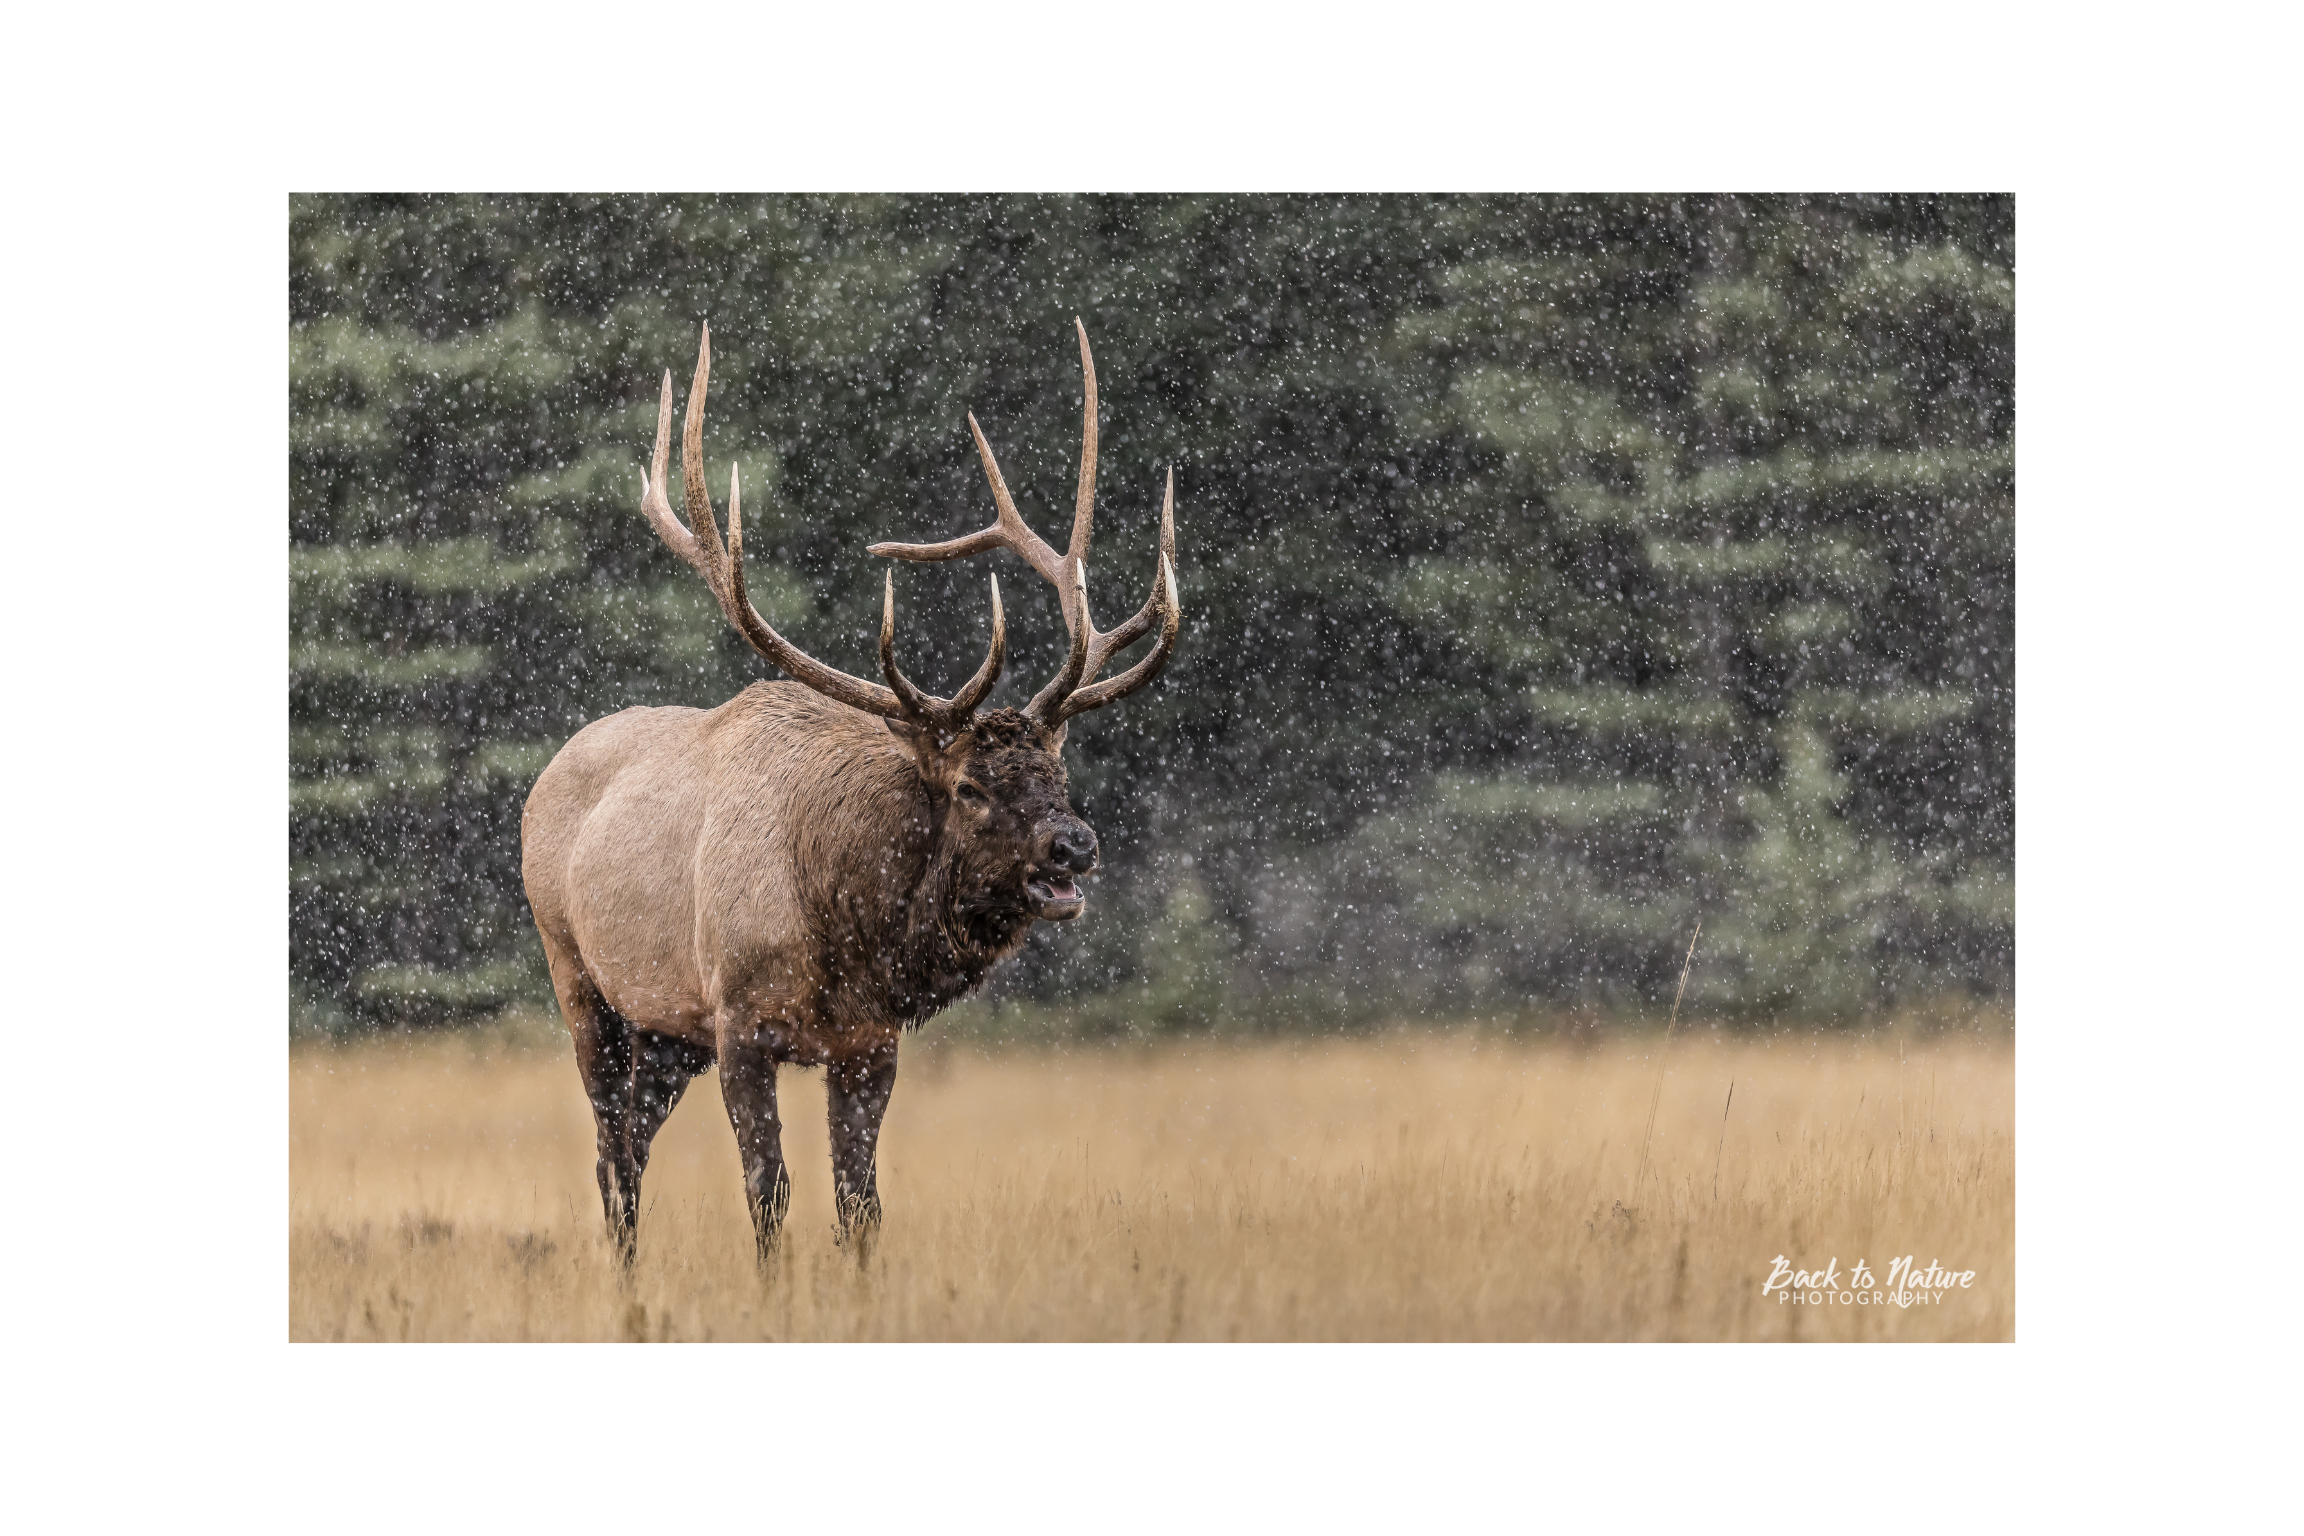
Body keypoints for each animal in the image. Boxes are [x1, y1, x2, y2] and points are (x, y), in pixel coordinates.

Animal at [525, 324, 1188, 1261]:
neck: (843, 930)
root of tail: (547, 775)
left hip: (666, 1032)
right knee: (611, 1157)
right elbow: (768, 1192)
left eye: (1059, 776)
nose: (1075, 845)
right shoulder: (739, 1019)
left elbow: (860, 1202)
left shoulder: (868, 1040)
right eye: (973, 787)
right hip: (580, 977)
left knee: (630, 1146)